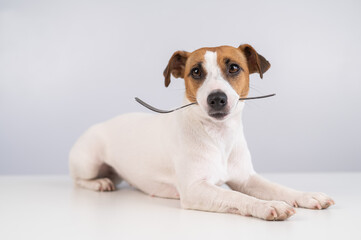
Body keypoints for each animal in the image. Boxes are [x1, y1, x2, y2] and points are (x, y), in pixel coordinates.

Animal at [69, 44, 334, 220]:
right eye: (196, 71)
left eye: (234, 68)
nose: (217, 98)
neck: (218, 135)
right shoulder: (195, 189)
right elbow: (238, 198)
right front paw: (267, 205)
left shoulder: (246, 178)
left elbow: (279, 188)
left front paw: (307, 195)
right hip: (89, 162)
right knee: (79, 179)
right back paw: (99, 183)